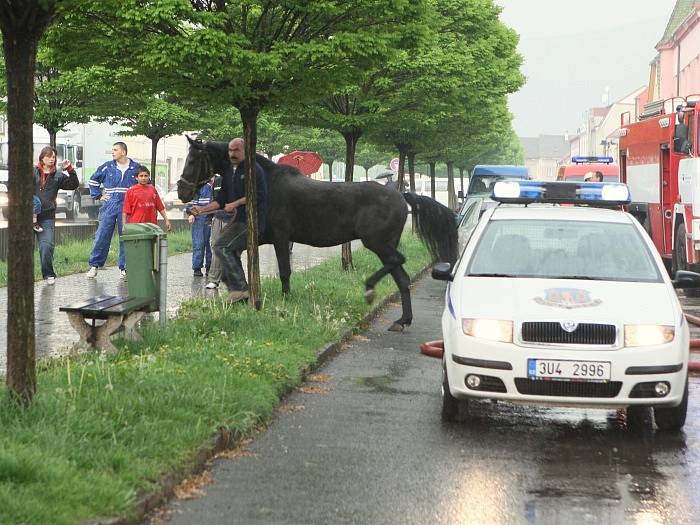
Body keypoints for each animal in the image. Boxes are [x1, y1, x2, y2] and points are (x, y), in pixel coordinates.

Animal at [178, 137, 456, 330]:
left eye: (192, 160)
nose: (182, 192)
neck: (263, 184)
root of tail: (401, 195)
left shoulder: (280, 238)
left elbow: (284, 270)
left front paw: (285, 299)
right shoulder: (257, 237)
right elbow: (228, 254)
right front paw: (242, 293)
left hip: (377, 242)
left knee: (398, 261)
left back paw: (370, 288)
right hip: (383, 244)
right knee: (402, 278)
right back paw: (402, 320)